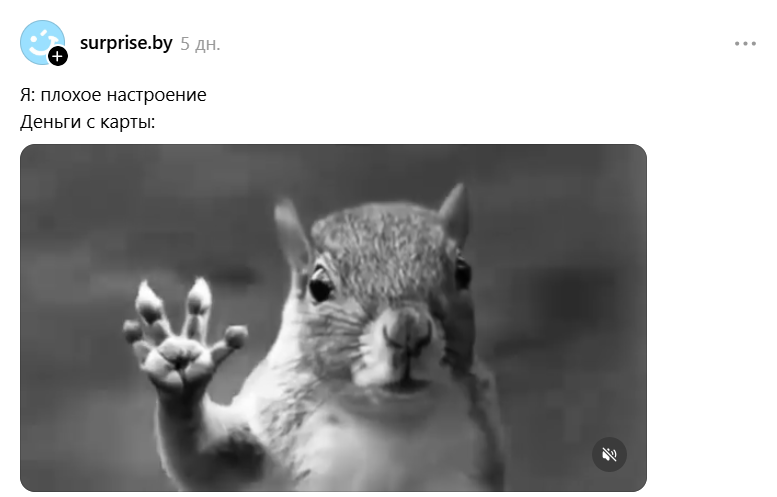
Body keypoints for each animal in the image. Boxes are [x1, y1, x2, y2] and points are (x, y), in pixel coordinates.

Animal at [122, 183, 507, 491]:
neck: (391, 419)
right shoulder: (267, 434)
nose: (408, 329)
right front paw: (183, 367)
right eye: (318, 286)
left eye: (463, 271)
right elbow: (207, 460)